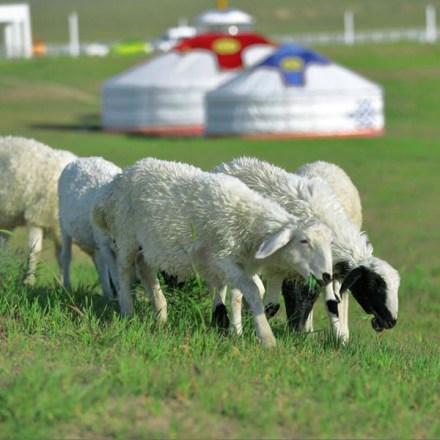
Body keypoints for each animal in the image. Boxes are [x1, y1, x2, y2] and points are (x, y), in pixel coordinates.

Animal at [57, 156, 122, 300]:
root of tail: (83, 159)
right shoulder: (106, 245)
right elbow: (117, 279)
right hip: (63, 223)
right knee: (66, 256)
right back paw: (66, 287)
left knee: (100, 263)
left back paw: (107, 295)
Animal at [93, 158, 334, 348]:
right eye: (304, 241)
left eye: (330, 242)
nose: (326, 277)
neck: (248, 221)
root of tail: (113, 185)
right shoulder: (222, 258)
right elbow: (253, 290)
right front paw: (266, 337)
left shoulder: (242, 265)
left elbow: (242, 293)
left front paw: (236, 331)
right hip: (126, 235)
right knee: (123, 272)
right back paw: (127, 311)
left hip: (147, 243)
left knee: (144, 267)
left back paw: (160, 312)